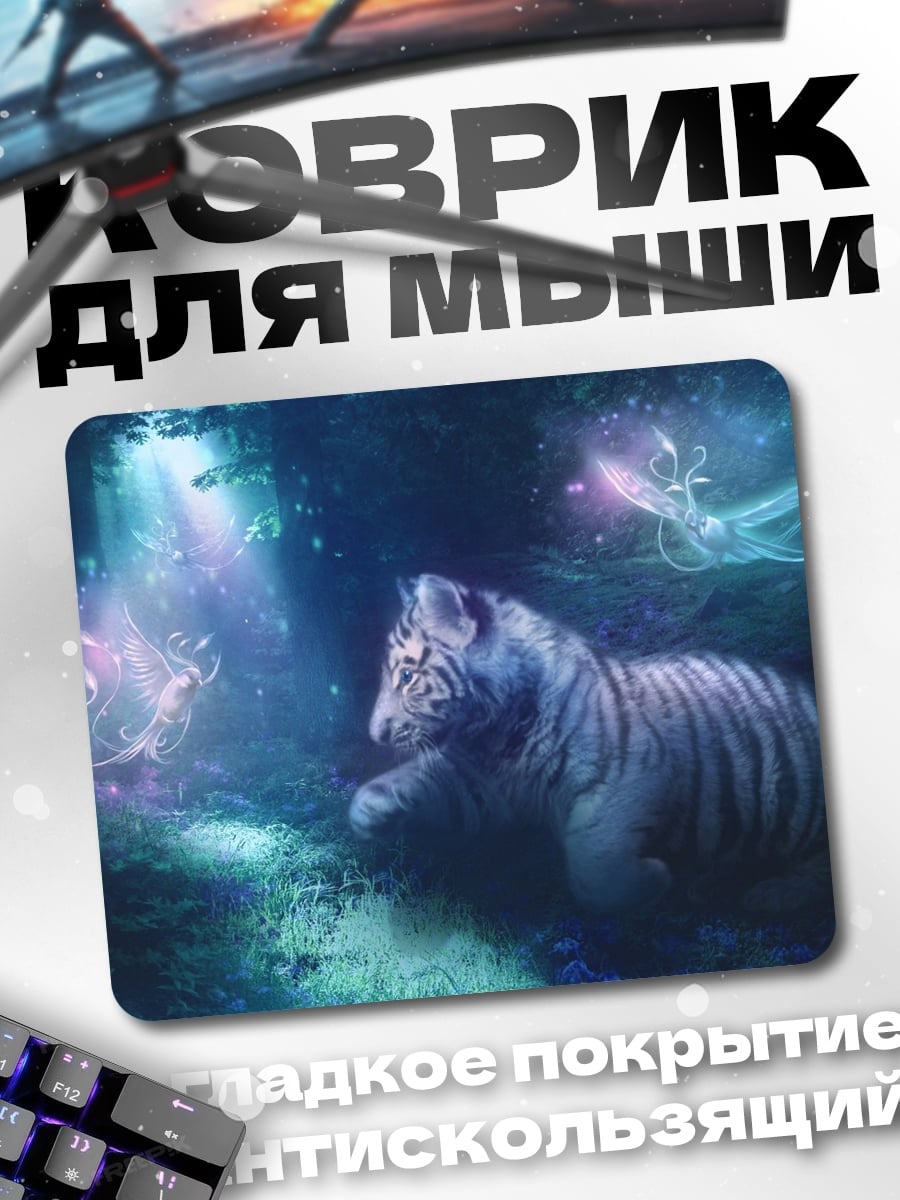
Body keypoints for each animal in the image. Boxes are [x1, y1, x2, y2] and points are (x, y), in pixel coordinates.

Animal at [348, 574, 830, 915]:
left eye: (406, 677)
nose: (374, 734)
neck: (498, 733)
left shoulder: (629, 777)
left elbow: (592, 862)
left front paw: (651, 881)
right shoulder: (487, 787)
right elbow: (428, 781)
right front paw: (367, 807)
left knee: (819, 863)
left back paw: (773, 894)